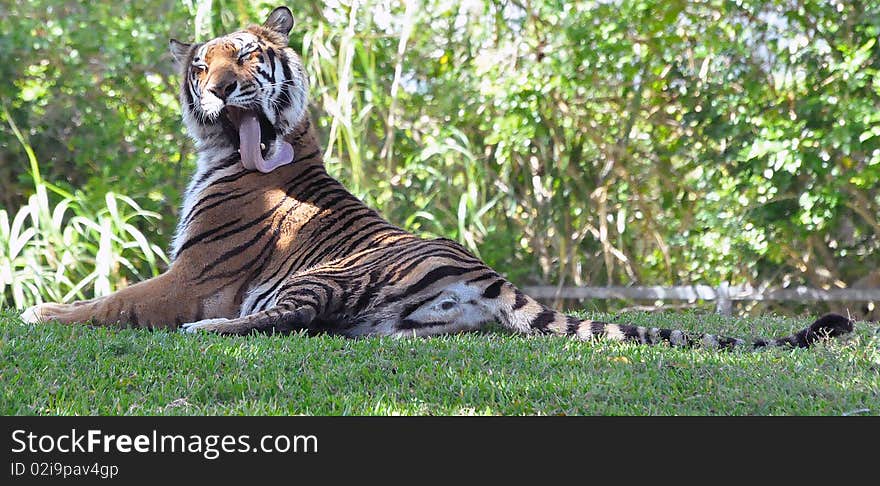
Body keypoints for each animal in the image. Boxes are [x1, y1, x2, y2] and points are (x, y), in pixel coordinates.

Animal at [22, 6, 852, 350]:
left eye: (248, 57)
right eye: (202, 66)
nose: (223, 88)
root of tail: (484, 273)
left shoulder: (193, 276)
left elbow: (115, 302)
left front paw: (42, 312)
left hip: (319, 277)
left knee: (279, 321)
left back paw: (209, 331)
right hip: (396, 314)